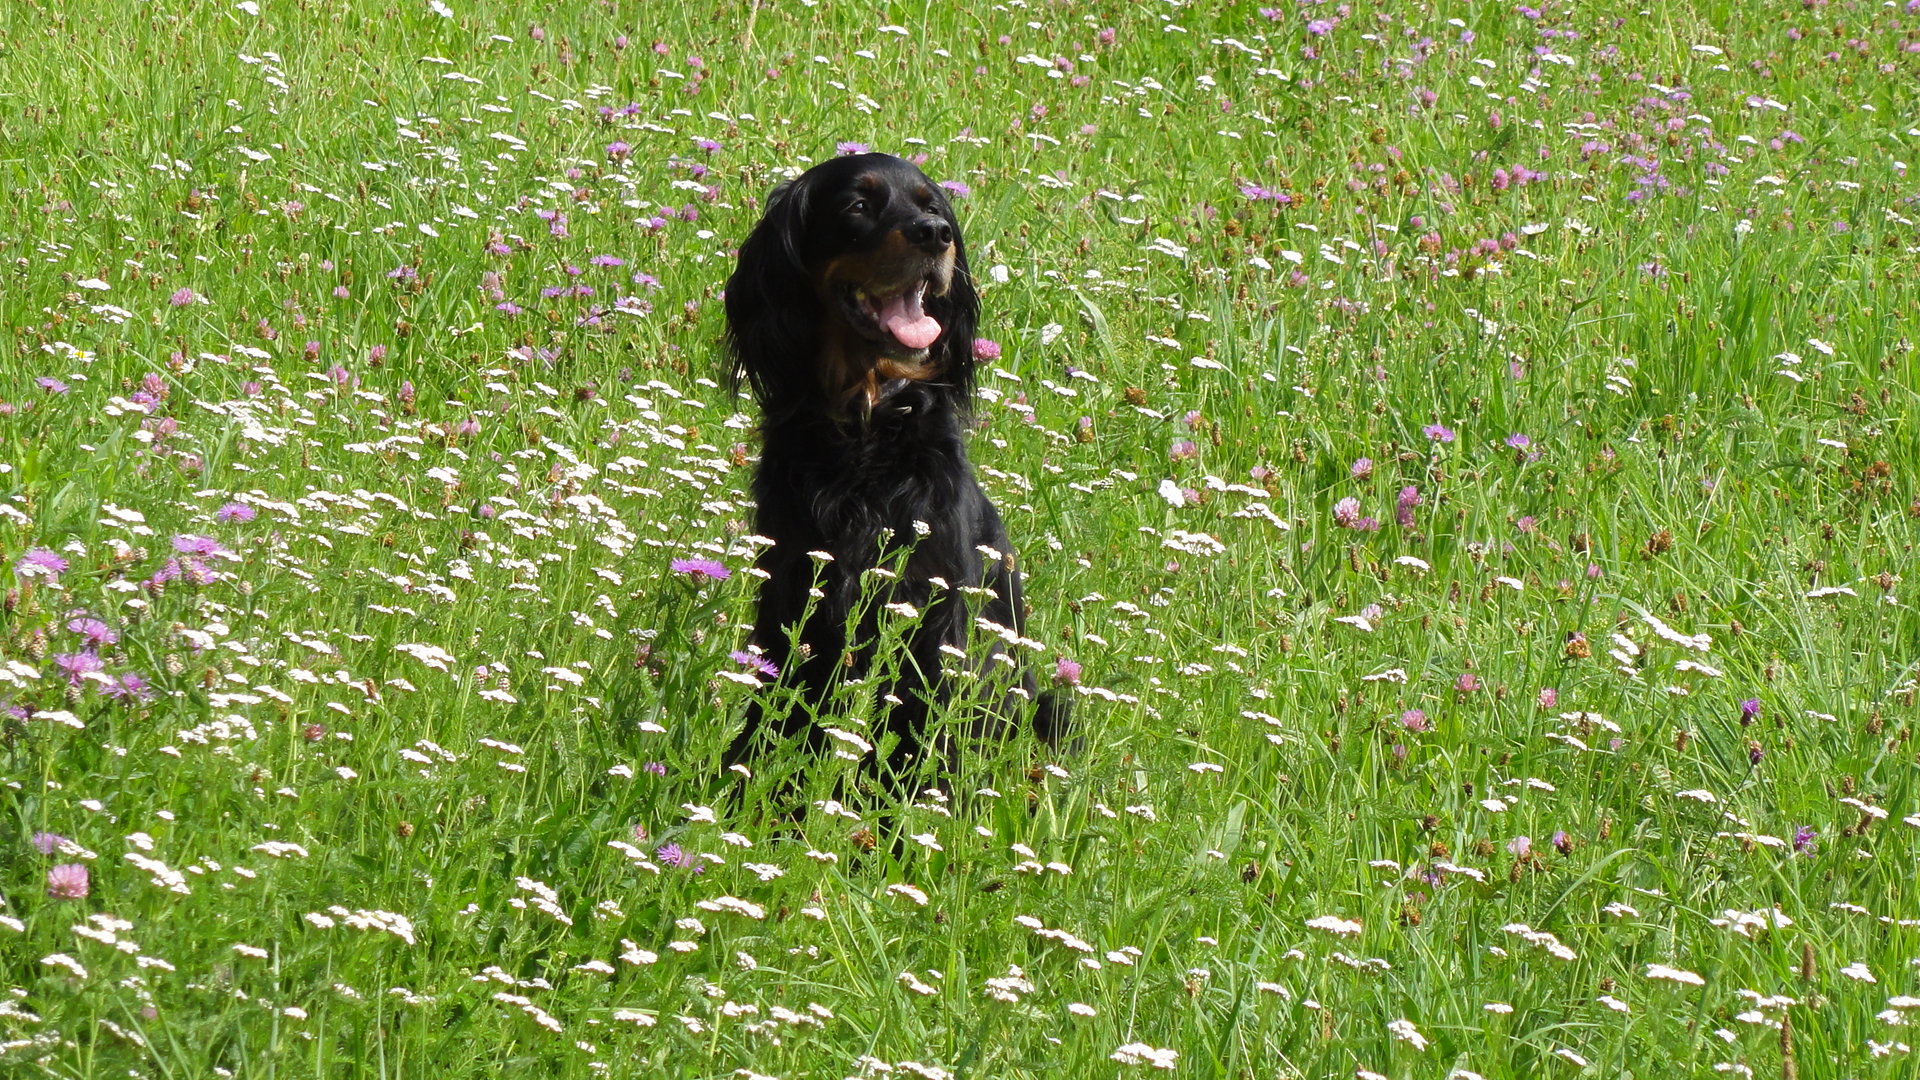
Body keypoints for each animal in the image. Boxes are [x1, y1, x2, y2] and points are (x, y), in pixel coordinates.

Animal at [718, 151, 1059, 776]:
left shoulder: (936, 605)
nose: (935, 234)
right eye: (858, 204)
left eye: (932, 205)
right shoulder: (792, 587)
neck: (869, 429)